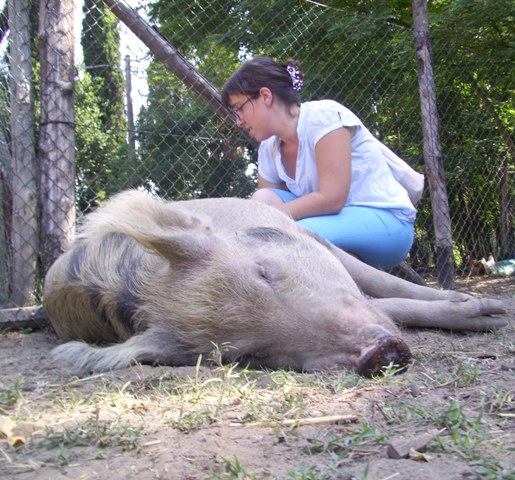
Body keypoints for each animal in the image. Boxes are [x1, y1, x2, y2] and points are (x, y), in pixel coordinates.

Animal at [44, 189, 508, 376]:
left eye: (264, 271)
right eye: (249, 353)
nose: (377, 354)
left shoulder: (309, 237)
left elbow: (386, 287)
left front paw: (495, 314)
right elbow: (388, 306)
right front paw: (491, 316)